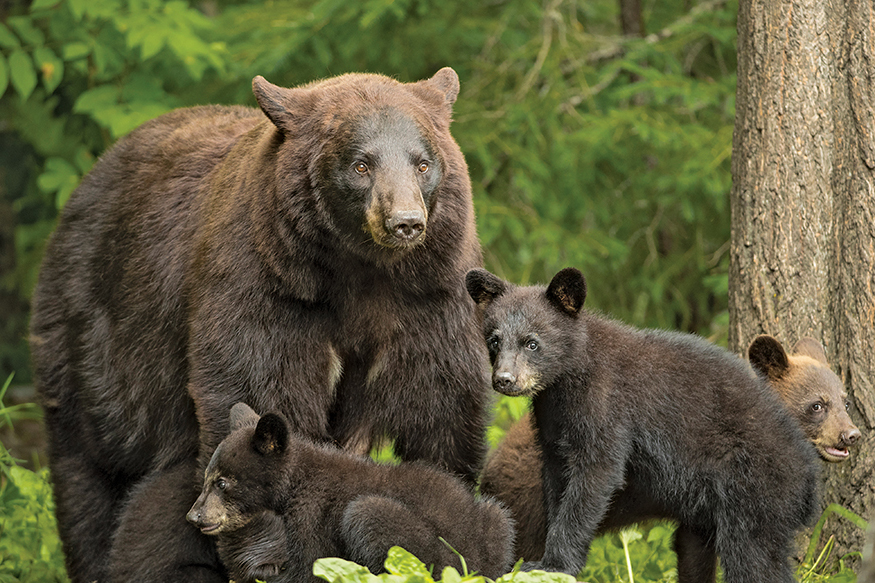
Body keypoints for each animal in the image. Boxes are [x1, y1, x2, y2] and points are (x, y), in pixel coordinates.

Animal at [183, 404, 512, 580]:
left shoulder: (310, 515)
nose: (194, 516)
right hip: (496, 518)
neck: (294, 484)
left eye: (222, 482)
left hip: (417, 545)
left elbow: (309, 567)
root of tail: (478, 569)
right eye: (207, 477)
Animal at [466, 266, 820, 580]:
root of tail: (809, 477)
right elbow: (556, 484)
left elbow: (593, 478)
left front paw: (552, 564)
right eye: (494, 340)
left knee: (754, 558)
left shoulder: (607, 409)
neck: (566, 382)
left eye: (532, 342)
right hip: (707, 510)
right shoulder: (553, 426)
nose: (504, 379)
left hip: (755, 489)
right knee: (696, 551)